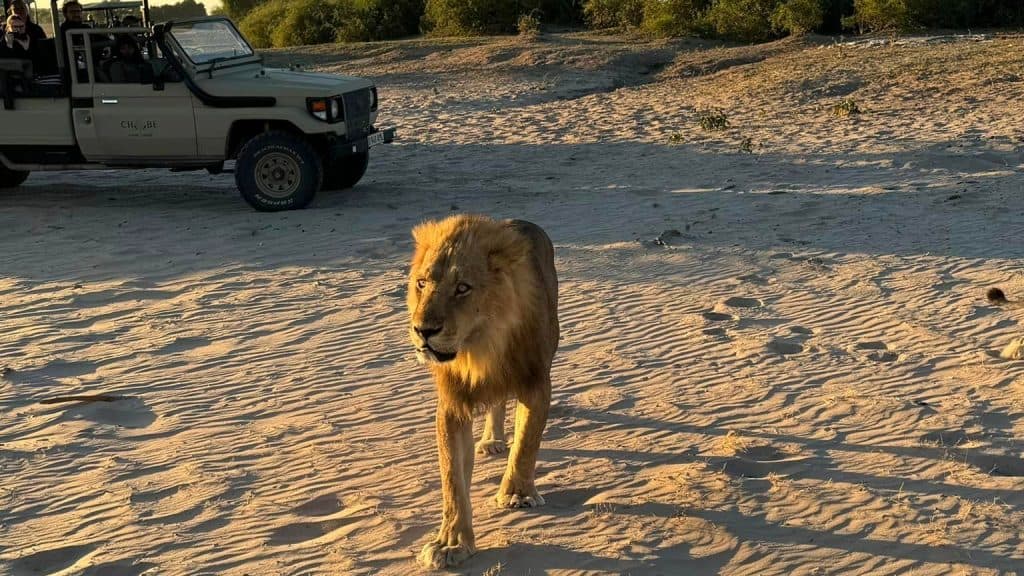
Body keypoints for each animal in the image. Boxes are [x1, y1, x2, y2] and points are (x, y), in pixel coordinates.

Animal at [406, 214, 559, 569]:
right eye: (422, 283)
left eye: (462, 288)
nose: (423, 330)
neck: (480, 348)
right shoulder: (452, 404)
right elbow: (452, 479)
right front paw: (450, 543)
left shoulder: (535, 382)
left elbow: (527, 442)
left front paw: (517, 494)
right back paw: (491, 441)